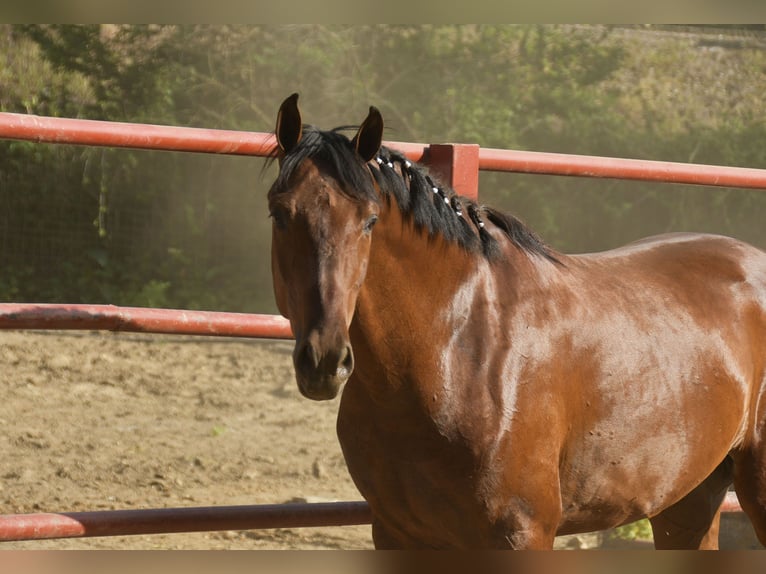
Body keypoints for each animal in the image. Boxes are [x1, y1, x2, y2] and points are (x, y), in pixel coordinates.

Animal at [266, 94, 766, 552]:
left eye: (369, 221)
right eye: (279, 212)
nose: (324, 360)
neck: (457, 350)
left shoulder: (520, 533)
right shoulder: (397, 533)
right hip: (688, 500)